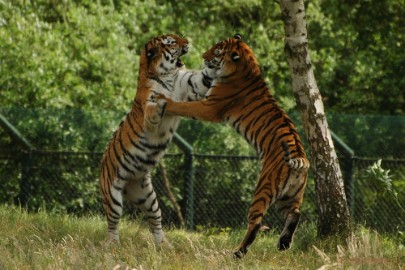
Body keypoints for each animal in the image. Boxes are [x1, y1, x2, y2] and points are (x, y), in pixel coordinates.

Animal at [99, 33, 213, 245]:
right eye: (171, 42)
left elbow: (205, 76)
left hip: (148, 197)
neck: (168, 75)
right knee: (112, 222)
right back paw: (112, 244)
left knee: (155, 221)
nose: (187, 42)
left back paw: (164, 245)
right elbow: (155, 105)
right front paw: (162, 100)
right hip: (112, 195)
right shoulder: (149, 109)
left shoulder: (191, 85)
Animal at [152, 34, 310, 258]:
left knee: (256, 222)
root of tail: (300, 159)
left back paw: (239, 252)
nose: (203, 56)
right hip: (290, 195)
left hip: (264, 188)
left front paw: (163, 99)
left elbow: (182, 106)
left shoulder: (209, 107)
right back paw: (284, 243)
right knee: (295, 214)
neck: (246, 65)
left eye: (217, 51)